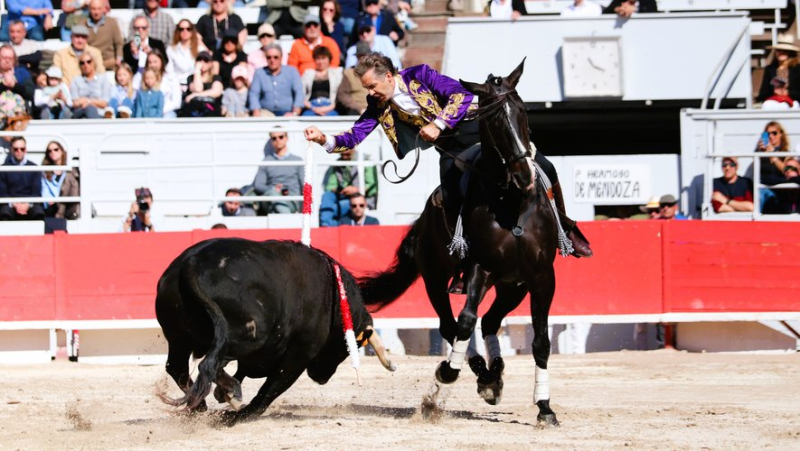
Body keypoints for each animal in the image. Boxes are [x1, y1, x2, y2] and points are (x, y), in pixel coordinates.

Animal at [155, 238, 396, 426]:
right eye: (346, 349)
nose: (321, 378)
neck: (334, 294)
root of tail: (192, 264)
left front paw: (223, 397)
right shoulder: (299, 354)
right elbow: (272, 388)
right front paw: (238, 413)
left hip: (178, 338)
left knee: (178, 367)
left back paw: (202, 404)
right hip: (248, 336)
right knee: (211, 363)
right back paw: (232, 394)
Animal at [360, 60, 564, 428]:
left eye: (524, 111)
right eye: (494, 121)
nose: (525, 176)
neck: (510, 202)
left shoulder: (542, 277)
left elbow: (541, 342)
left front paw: (545, 408)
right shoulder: (479, 268)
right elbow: (465, 321)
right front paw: (447, 372)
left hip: (512, 285)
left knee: (490, 322)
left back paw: (491, 375)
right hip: (436, 278)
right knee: (453, 324)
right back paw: (476, 373)